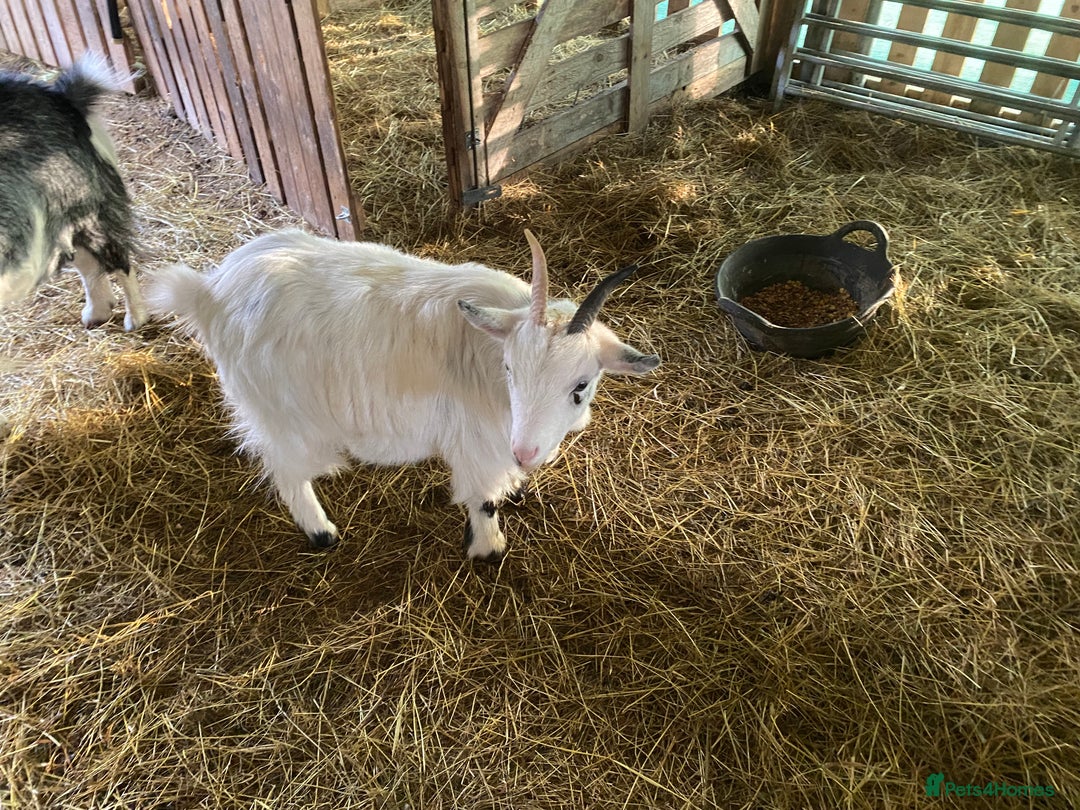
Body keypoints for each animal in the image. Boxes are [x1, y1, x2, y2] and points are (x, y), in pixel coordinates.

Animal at [0, 54, 146, 330]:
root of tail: (64, 98)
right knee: (85, 259)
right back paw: (97, 313)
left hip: (89, 205)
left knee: (117, 258)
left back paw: (136, 318)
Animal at [146, 228, 659, 561]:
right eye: (510, 369)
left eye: (580, 385)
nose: (526, 452)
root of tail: (207, 292)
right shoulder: (475, 444)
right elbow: (482, 499)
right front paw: (488, 550)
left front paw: (518, 487)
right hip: (282, 414)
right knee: (285, 470)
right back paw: (321, 532)